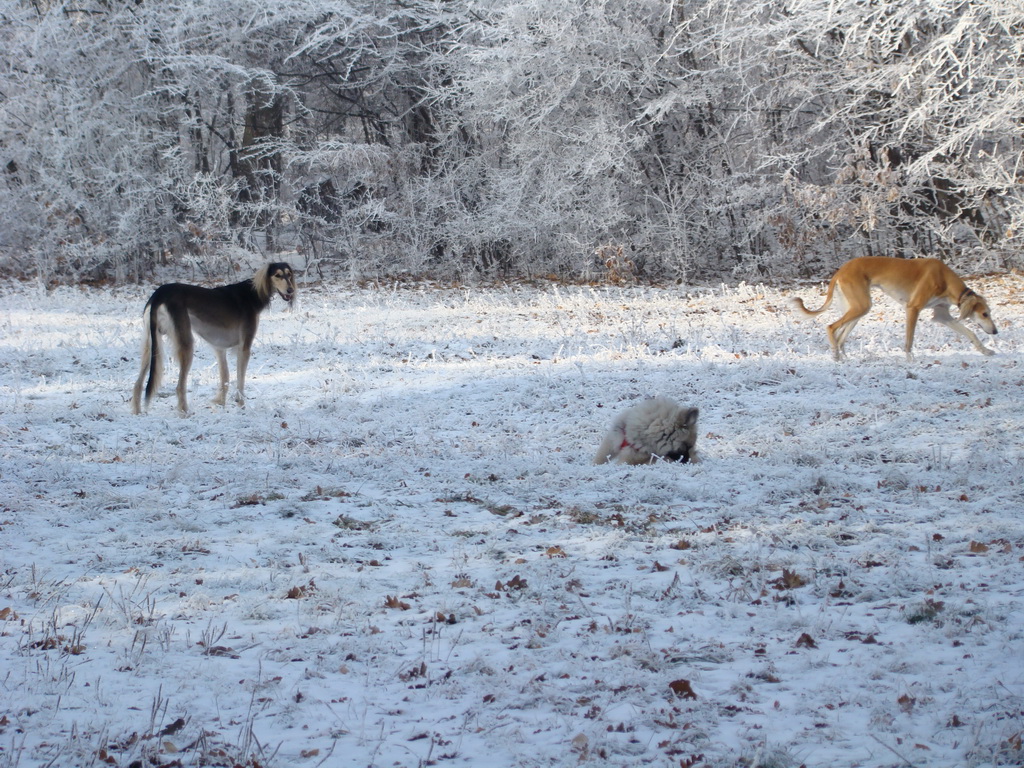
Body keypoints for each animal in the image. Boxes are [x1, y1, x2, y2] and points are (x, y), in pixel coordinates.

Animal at [130, 264, 294, 415]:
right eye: (278, 275)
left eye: (289, 274)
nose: (290, 290)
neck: (252, 293)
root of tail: (159, 293)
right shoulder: (244, 347)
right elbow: (240, 380)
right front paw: (241, 405)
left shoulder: (219, 347)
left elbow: (225, 377)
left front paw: (220, 403)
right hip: (185, 344)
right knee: (179, 386)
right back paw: (185, 413)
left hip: (150, 344)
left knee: (138, 384)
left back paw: (137, 413)